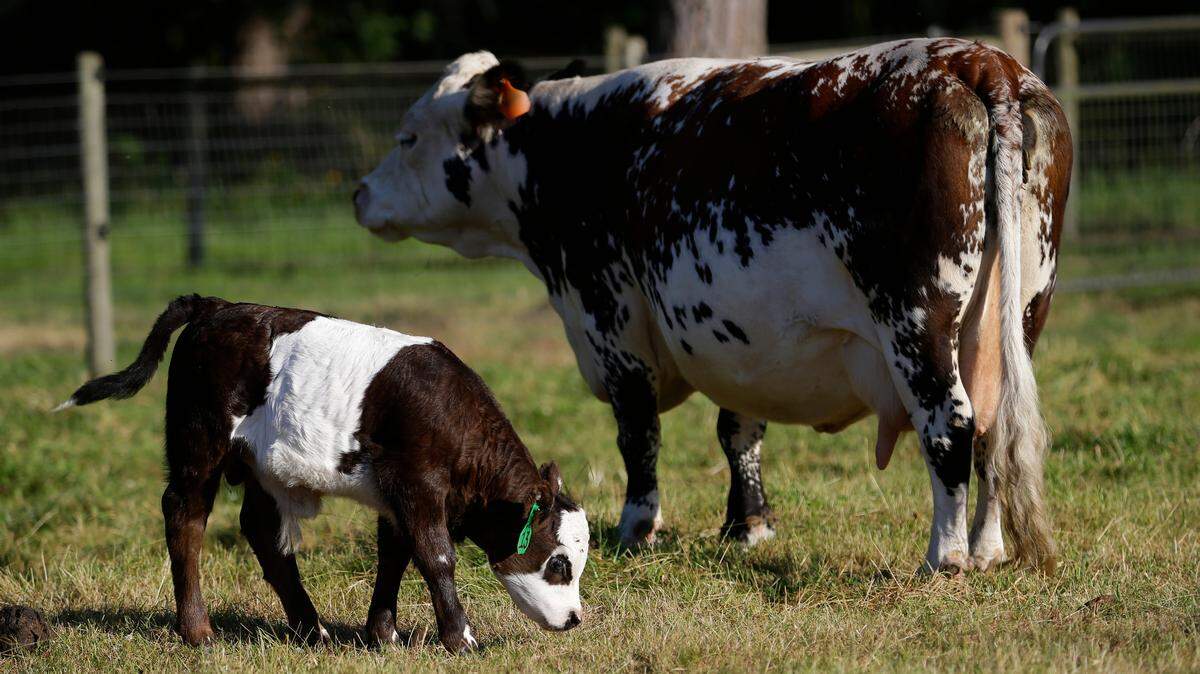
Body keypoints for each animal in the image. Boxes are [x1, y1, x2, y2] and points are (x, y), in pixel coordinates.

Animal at [354, 38, 1070, 574]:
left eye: (408, 137)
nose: (360, 193)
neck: (574, 149)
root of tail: (978, 61)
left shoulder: (609, 316)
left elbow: (637, 432)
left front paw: (636, 527)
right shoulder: (742, 338)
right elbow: (739, 429)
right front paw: (746, 524)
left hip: (917, 319)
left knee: (950, 423)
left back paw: (944, 557)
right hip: (1017, 314)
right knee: (996, 425)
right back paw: (986, 549)